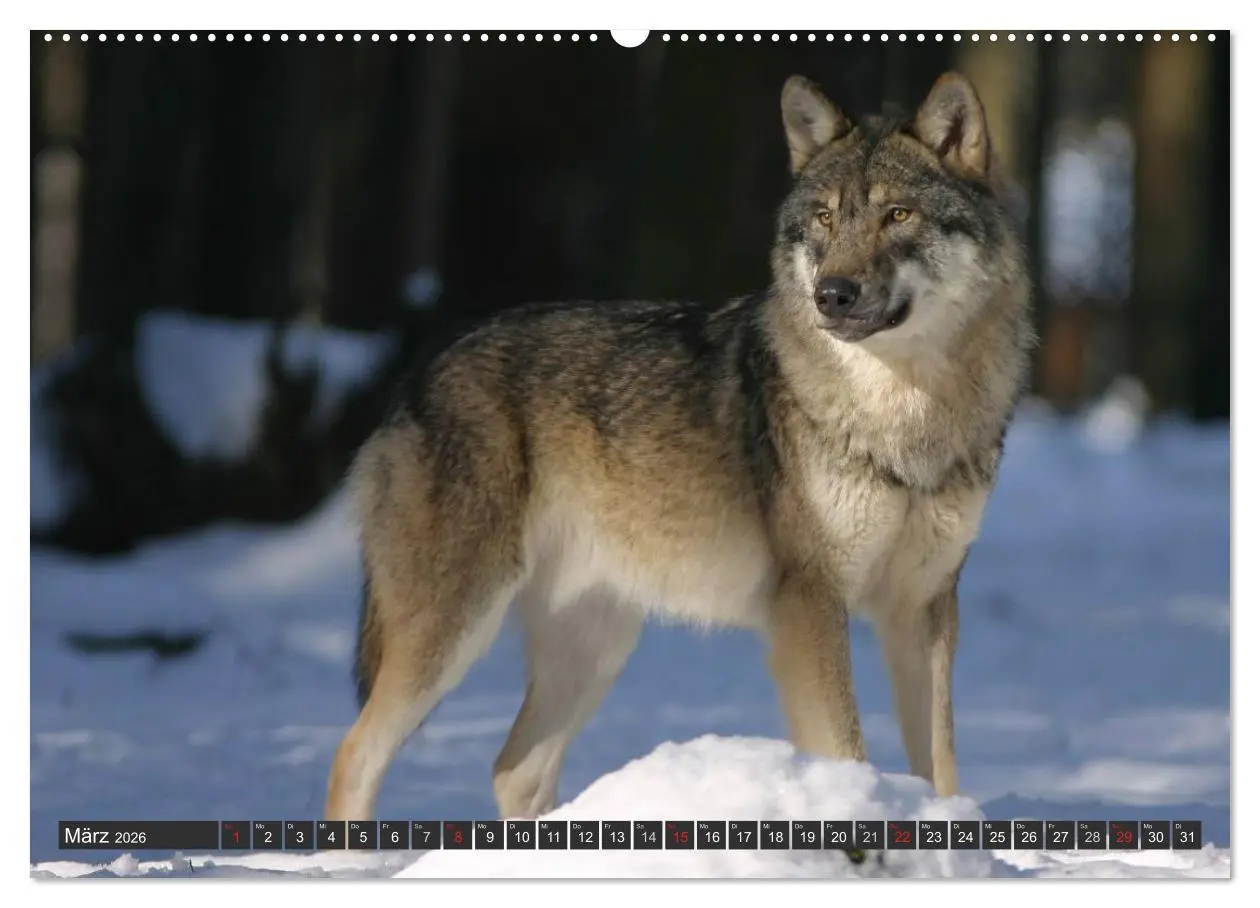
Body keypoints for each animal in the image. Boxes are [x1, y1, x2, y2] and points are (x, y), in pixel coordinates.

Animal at [324, 72, 1035, 822]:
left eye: (898, 215)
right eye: (824, 219)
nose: (831, 295)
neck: (904, 417)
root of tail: (418, 372)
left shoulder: (923, 609)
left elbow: (941, 765)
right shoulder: (810, 604)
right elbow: (846, 749)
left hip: (595, 645)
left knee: (514, 768)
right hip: (454, 631)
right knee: (355, 753)